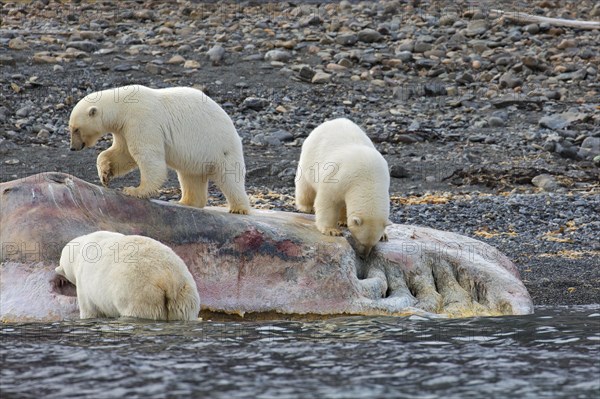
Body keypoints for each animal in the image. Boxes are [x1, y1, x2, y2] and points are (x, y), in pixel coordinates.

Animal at [54, 231, 199, 322]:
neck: (78, 251)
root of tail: (168, 279)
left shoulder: (84, 283)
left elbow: (89, 310)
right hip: (184, 295)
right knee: (183, 313)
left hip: (140, 293)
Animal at [68, 85, 251, 216]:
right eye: (71, 128)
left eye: (76, 129)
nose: (73, 147)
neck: (122, 105)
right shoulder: (123, 128)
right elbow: (123, 153)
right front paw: (105, 174)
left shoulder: (141, 120)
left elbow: (147, 156)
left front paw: (134, 190)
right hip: (195, 158)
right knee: (190, 177)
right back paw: (186, 202)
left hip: (221, 148)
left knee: (229, 178)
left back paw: (239, 208)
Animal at [296, 118, 392, 260]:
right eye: (360, 240)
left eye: (373, 243)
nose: (363, 256)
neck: (369, 179)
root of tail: (331, 121)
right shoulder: (339, 177)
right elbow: (328, 200)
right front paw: (332, 231)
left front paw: (384, 235)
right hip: (310, 159)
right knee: (305, 186)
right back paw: (305, 207)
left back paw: (343, 221)